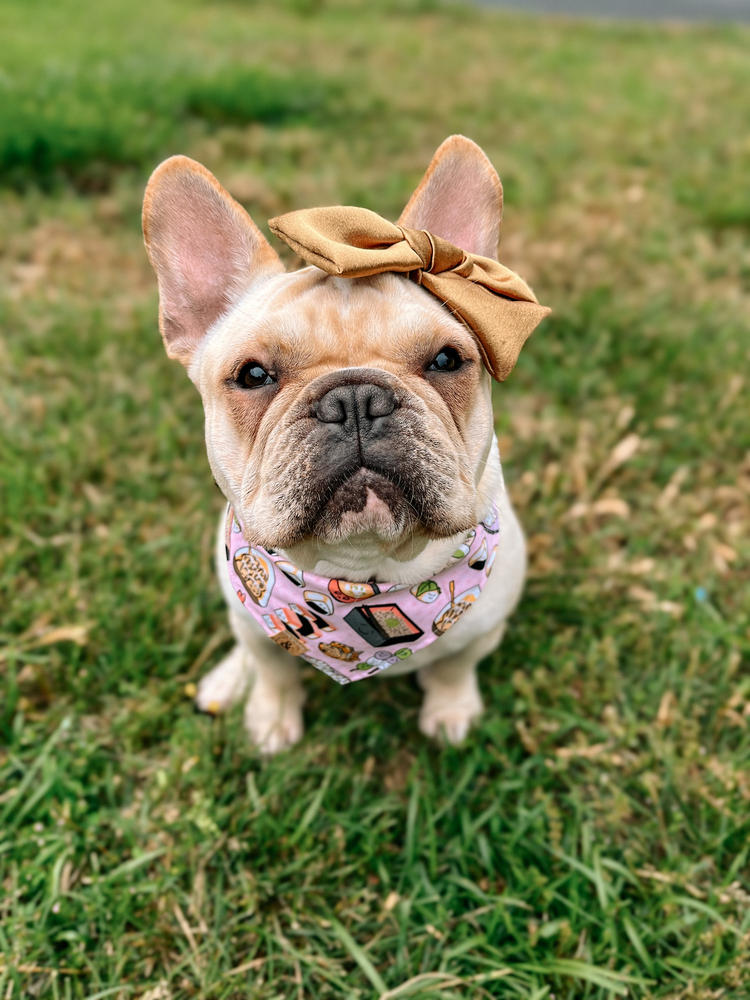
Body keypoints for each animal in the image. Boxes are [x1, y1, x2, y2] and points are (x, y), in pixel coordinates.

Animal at [144, 137, 548, 752]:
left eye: (447, 359)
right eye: (253, 375)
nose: (355, 399)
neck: (361, 570)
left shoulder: (483, 630)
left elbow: (454, 666)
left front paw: (451, 712)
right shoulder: (258, 627)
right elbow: (273, 667)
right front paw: (270, 719)